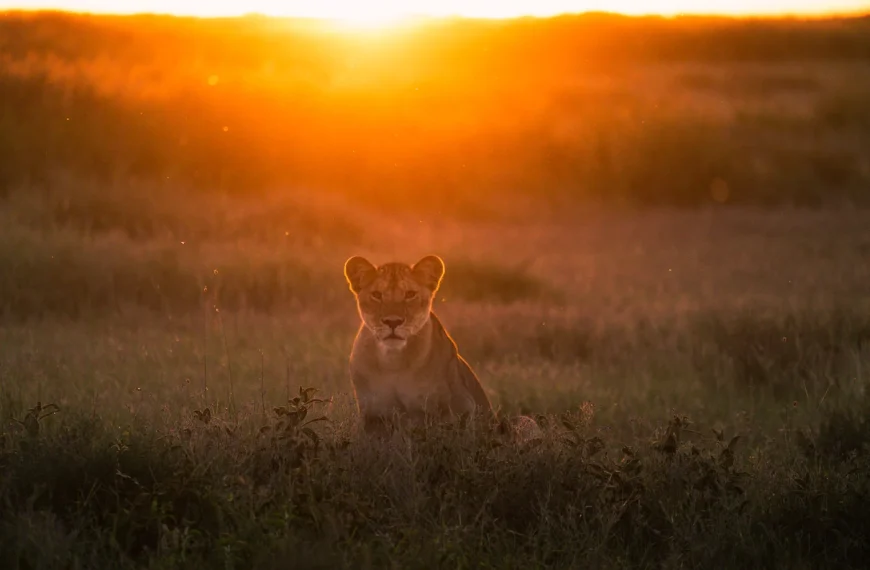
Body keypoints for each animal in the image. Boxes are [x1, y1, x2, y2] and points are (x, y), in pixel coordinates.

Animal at [343, 254, 541, 442]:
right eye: (377, 294)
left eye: (410, 294)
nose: (393, 322)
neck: (393, 361)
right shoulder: (372, 417)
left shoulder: (461, 408)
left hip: (521, 421)